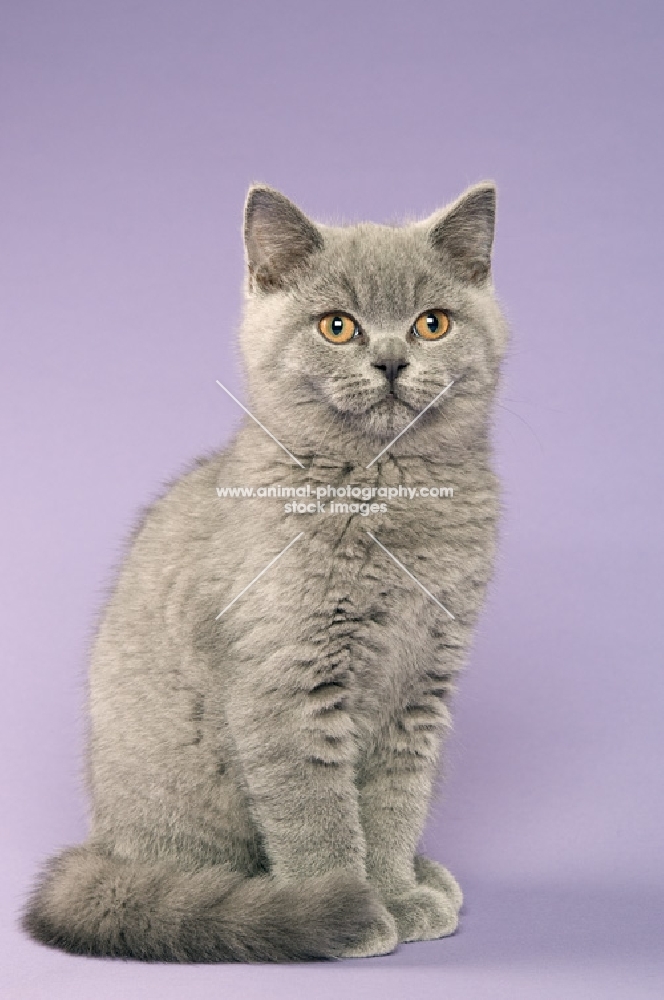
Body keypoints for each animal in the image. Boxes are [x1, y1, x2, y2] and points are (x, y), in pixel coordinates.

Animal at [22, 180, 508, 960]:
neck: (387, 492)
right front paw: (347, 906)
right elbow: (316, 811)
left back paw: (426, 877)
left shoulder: (423, 684)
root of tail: (107, 850)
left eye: (432, 324)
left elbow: (394, 802)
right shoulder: (285, 678)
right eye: (337, 327)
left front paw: (397, 891)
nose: (392, 362)